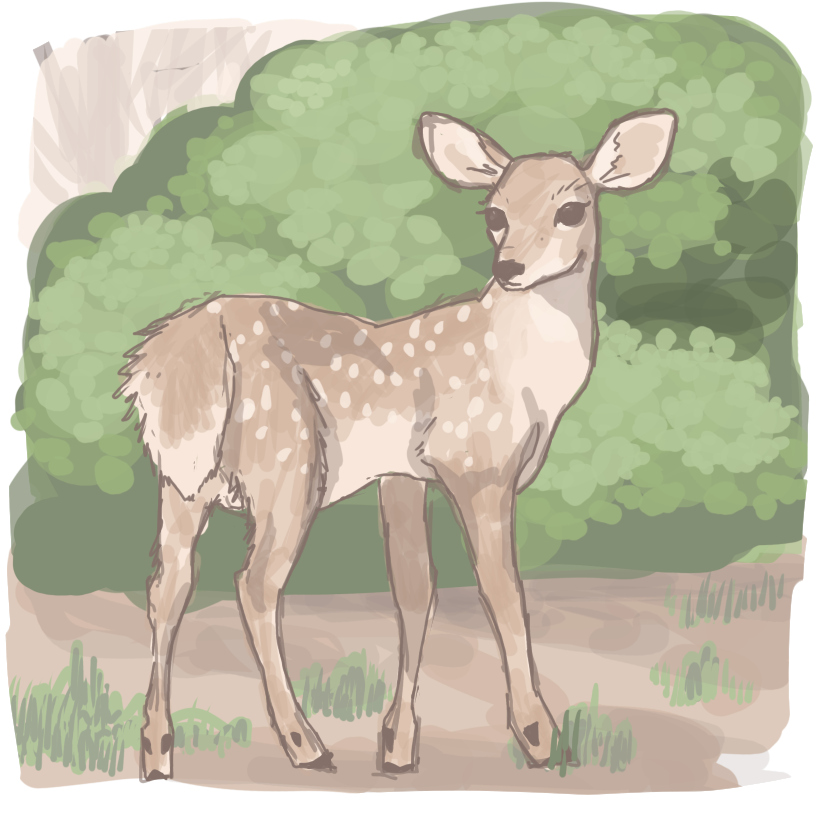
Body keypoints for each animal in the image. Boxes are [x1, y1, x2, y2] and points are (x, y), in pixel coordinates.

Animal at [116, 106, 677, 782]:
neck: (522, 377)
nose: (510, 269)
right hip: (288, 462)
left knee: (166, 586)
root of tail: (182, 351)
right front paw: (537, 733)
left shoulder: (404, 475)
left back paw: (157, 749)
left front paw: (398, 745)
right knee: (254, 584)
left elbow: (414, 593)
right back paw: (305, 745)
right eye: (495, 213)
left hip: (181, 479)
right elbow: (502, 591)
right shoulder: (477, 462)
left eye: (571, 209)